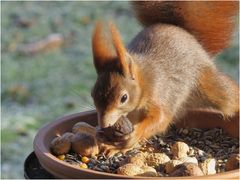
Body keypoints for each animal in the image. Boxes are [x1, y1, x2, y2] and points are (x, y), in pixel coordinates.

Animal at [90, 1, 238, 155]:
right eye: (92, 94)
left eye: (123, 98)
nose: (104, 124)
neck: (145, 81)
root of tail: (185, 33)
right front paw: (109, 139)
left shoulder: (160, 94)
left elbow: (161, 119)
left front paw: (133, 136)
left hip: (206, 84)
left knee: (229, 98)